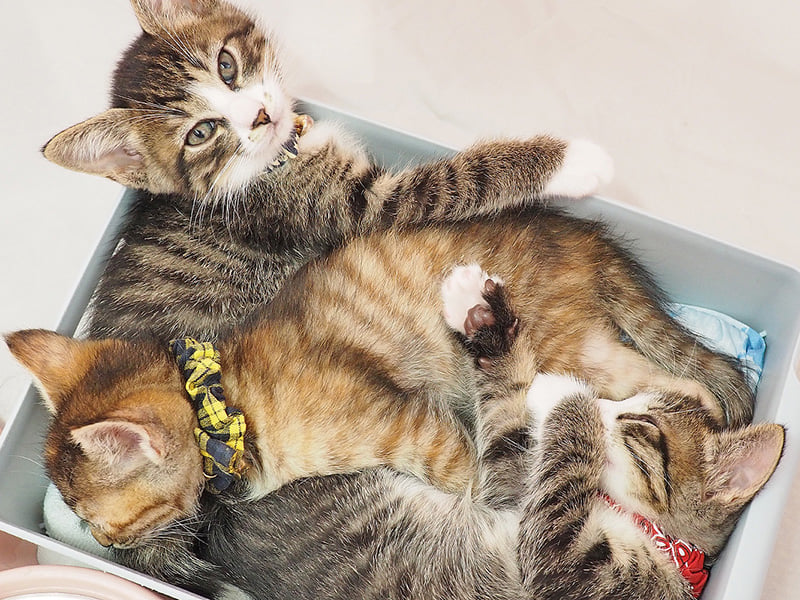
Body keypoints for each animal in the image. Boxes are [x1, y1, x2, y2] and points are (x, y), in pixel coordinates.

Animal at [7, 210, 757, 597]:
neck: (228, 405)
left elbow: (485, 484)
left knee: (684, 384)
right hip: (587, 341)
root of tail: (582, 235)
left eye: (96, 517)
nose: (105, 543)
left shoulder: (426, 432)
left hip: (569, 344)